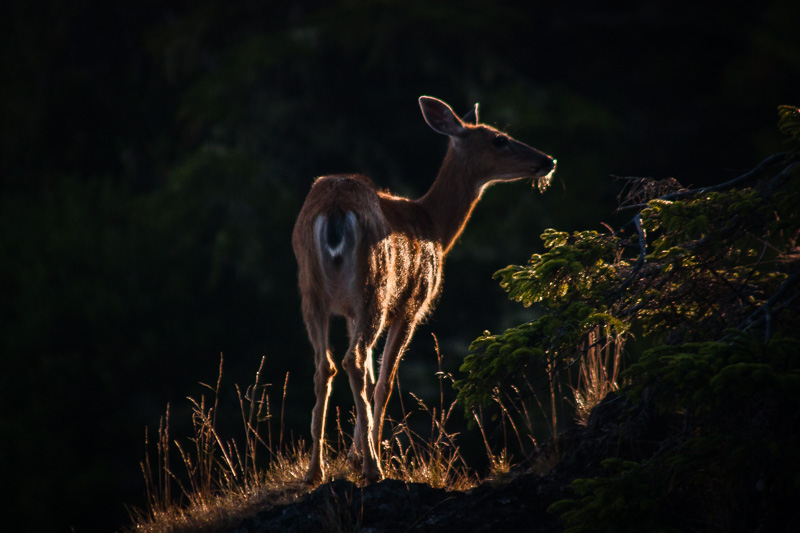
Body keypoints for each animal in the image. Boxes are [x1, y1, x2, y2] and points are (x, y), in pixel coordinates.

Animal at [292, 95, 555, 485]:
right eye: (499, 139)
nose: (548, 161)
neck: (434, 226)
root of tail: (335, 207)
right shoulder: (412, 305)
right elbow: (384, 381)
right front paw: (363, 456)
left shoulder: (350, 313)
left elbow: (370, 376)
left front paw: (353, 455)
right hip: (376, 286)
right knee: (353, 360)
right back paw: (374, 468)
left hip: (312, 291)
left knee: (326, 365)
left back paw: (315, 471)